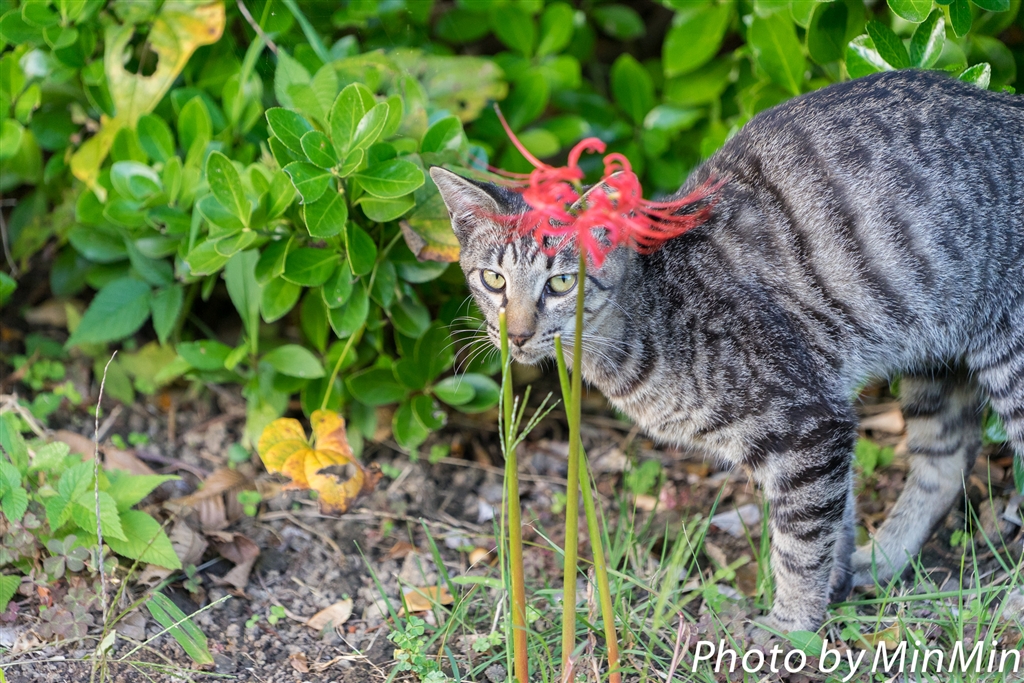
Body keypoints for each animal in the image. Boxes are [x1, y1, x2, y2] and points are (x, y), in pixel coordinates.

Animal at [430, 69, 1024, 636]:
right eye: (493, 279)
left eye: (559, 284)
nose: (517, 334)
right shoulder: (827, 411)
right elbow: (838, 515)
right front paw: (834, 588)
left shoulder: (810, 421)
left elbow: (801, 542)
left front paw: (791, 625)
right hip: (933, 357)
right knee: (945, 459)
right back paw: (882, 557)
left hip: (1009, 356)